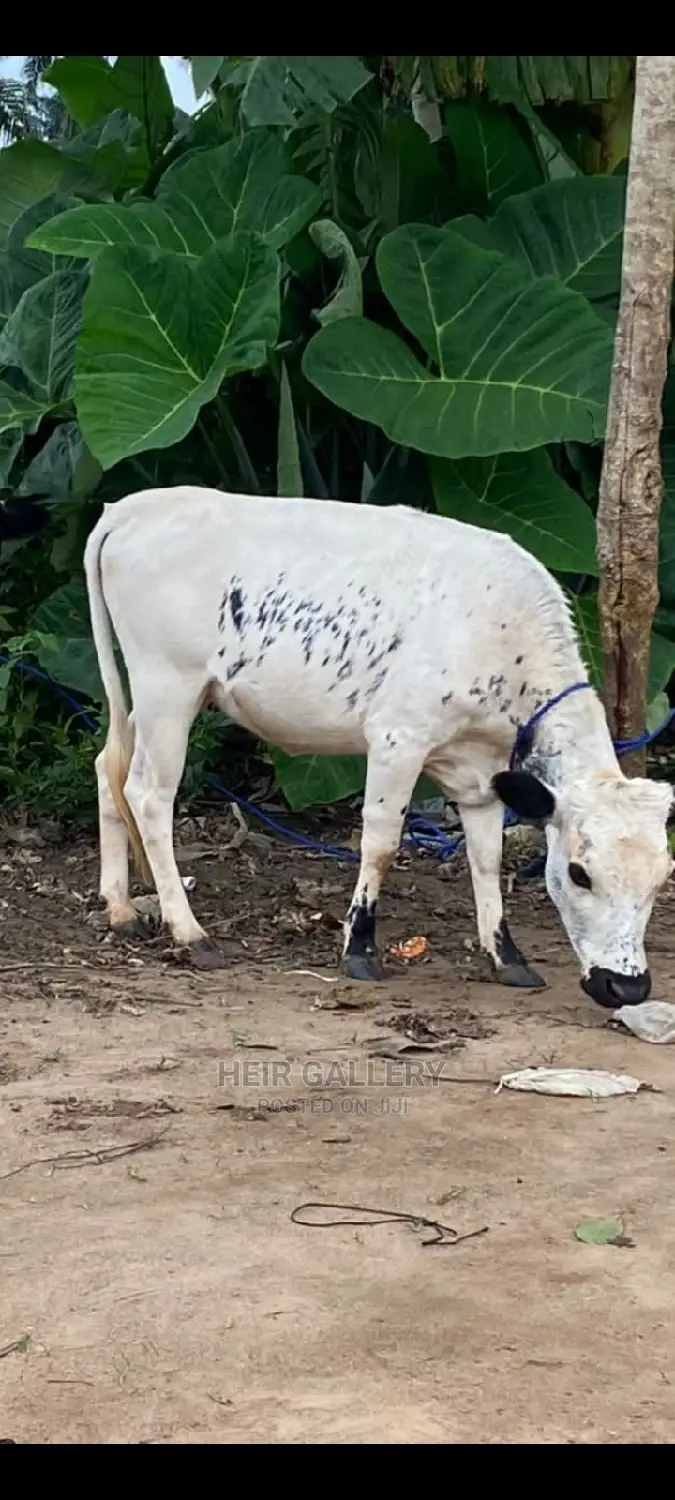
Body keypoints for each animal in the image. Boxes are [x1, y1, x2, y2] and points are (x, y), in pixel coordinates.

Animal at [84, 486, 674, 1008]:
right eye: (579, 873)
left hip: (154, 699)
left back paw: (121, 909)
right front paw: (359, 948)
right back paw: (189, 932)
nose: (627, 988)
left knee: (108, 767)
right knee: (149, 794)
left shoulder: (481, 773)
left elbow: (486, 858)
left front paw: (506, 956)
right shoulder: (397, 738)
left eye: (662, 878)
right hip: (168, 685)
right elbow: (383, 843)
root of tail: (134, 506)